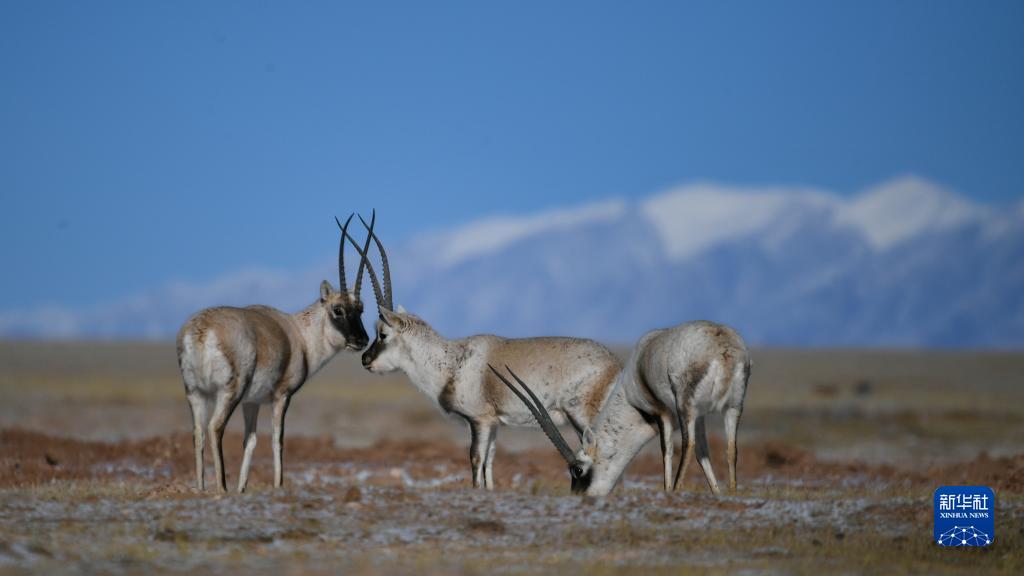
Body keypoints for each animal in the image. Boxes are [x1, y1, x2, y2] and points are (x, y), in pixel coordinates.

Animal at [176, 213, 376, 491]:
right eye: (338, 309)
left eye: (361, 309)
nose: (362, 340)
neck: (299, 334)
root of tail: (200, 329)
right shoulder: (282, 396)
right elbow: (277, 440)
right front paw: (278, 485)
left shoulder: (252, 401)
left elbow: (250, 441)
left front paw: (242, 488)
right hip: (228, 392)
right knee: (215, 428)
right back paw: (221, 489)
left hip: (196, 393)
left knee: (197, 433)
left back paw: (202, 489)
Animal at [344, 216, 622, 487]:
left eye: (382, 333)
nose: (365, 359)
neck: (451, 361)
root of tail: (615, 363)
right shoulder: (494, 423)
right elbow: (490, 461)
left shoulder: (479, 420)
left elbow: (476, 460)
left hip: (583, 416)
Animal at [493, 319, 753, 496]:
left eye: (578, 470)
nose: (578, 497)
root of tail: (723, 347)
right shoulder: (699, 417)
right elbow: (703, 452)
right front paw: (717, 493)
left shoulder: (661, 412)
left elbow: (667, 450)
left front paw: (669, 491)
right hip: (733, 406)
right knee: (731, 447)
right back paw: (733, 492)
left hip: (685, 406)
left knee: (687, 446)